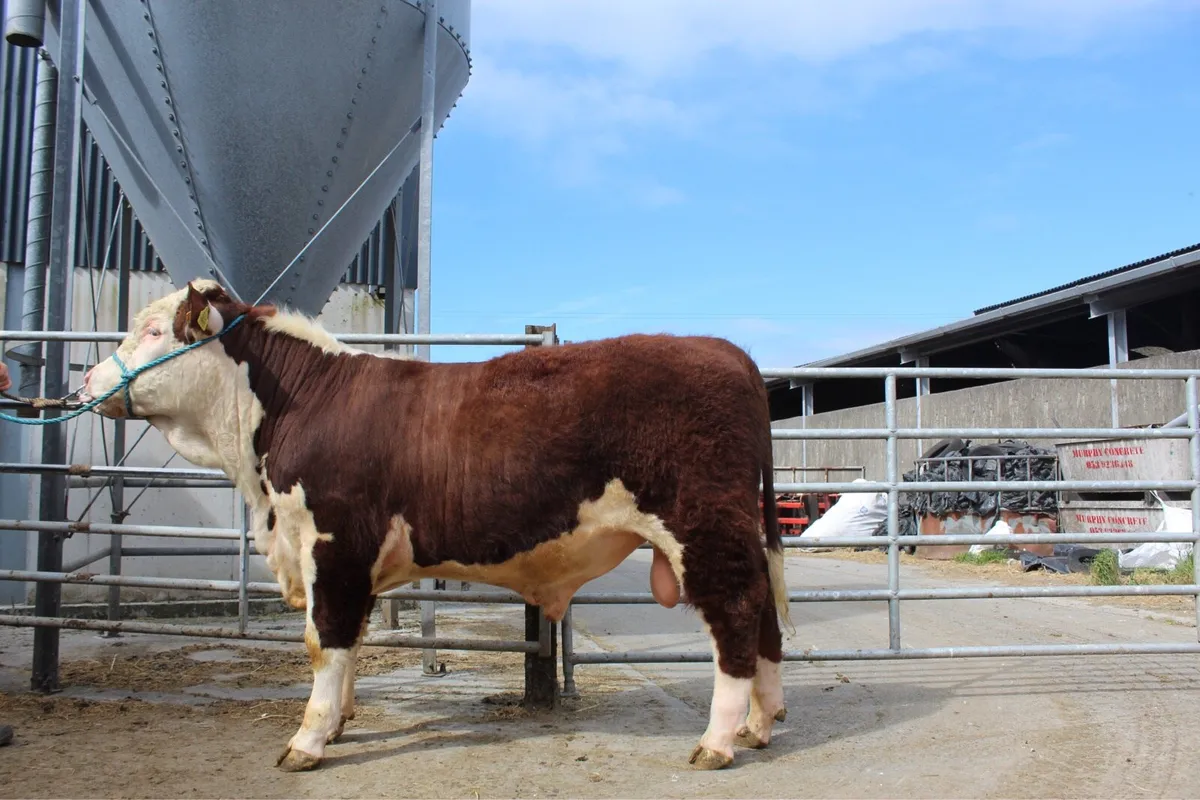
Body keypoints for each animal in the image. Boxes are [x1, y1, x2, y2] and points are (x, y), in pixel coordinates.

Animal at [79, 279, 795, 772]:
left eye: (153, 331)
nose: (86, 380)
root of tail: (726, 351)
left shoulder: (333, 545)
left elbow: (323, 641)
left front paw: (308, 740)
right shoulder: (347, 560)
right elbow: (350, 641)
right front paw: (339, 723)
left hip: (703, 529)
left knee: (736, 614)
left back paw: (716, 741)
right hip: (731, 532)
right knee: (762, 614)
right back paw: (759, 725)